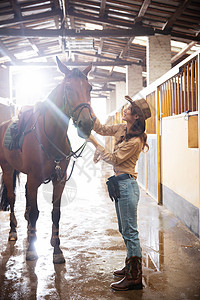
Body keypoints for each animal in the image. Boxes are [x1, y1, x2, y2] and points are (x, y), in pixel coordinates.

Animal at [0, 57, 94, 264]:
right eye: (67, 87)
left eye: (90, 88)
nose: (87, 124)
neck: (50, 135)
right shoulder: (34, 178)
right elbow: (35, 212)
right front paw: (31, 251)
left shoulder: (59, 179)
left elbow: (55, 213)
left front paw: (57, 249)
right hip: (8, 169)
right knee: (12, 197)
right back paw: (13, 231)